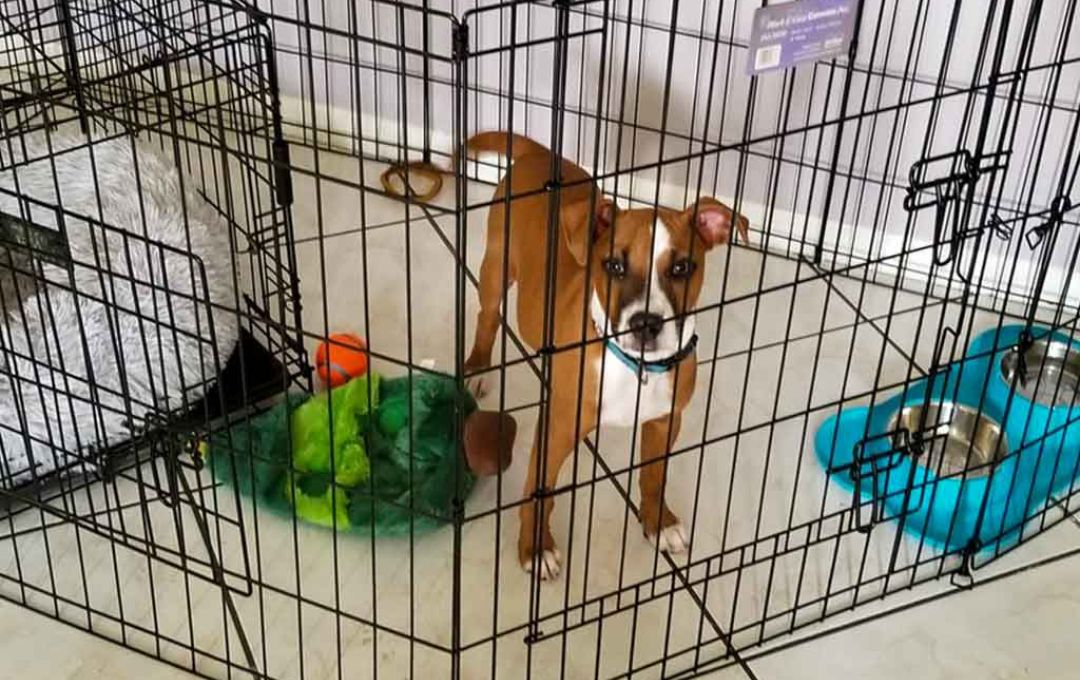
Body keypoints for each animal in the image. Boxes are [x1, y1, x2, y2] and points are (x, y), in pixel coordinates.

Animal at [460, 131, 747, 582]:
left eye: (682, 268)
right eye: (613, 265)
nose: (646, 323)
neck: (635, 366)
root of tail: (541, 152)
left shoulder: (666, 421)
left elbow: (654, 476)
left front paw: (659, 523)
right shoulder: (559, 427)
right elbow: (540, 489)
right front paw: (536, 548)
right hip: (496, 266)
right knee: (487, 315)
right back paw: (477, 365)